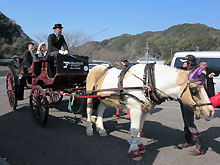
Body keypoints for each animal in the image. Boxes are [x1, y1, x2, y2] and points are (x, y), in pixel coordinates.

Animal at [85, 63, 214, 160]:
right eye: (194, 91)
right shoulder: (135, 108)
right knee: (89, 110)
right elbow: (134, 129)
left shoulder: (145, 109)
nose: (211, 112)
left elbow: (140, 129)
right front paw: (134, 151)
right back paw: (89, 129)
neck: (147, 81)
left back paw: (101, 129)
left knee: (101, 109)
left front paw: (139, 145)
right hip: (90, 94)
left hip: (104, 97)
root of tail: (95, 67)